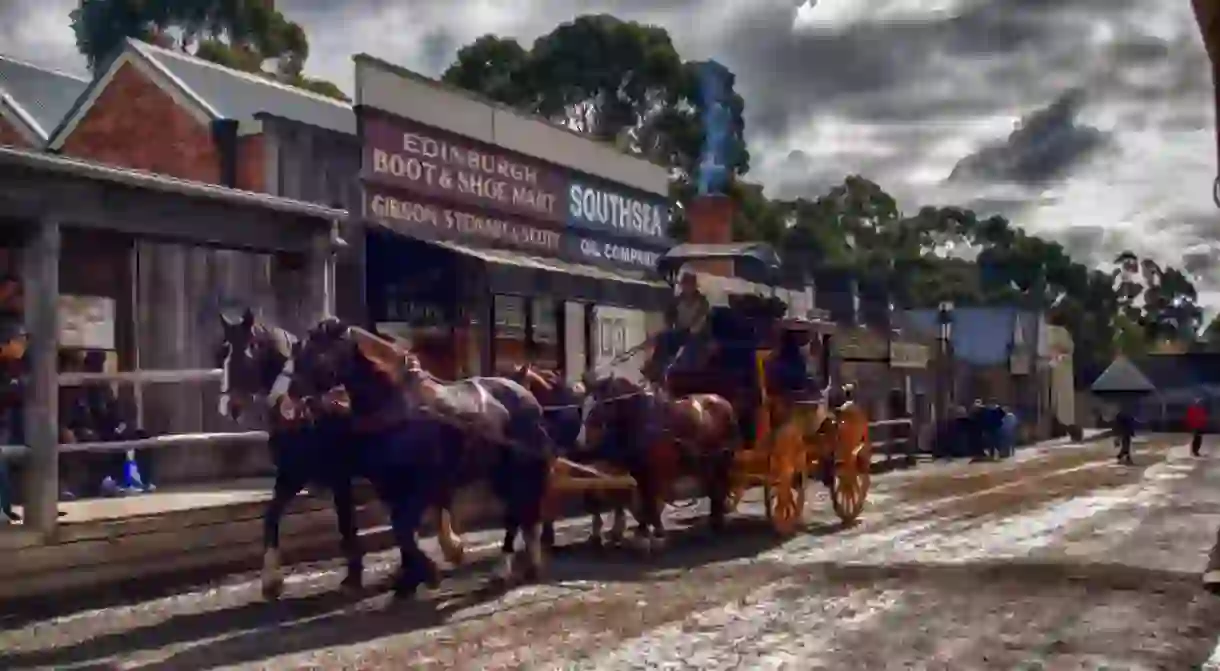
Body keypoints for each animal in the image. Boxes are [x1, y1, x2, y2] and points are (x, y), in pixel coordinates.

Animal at [283, 317, 551, 597]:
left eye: (319, 350)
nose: (292, 392)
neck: (394, 408)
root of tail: (527, 396)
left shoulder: (420, 487)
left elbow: (403, 528)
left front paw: (432, 570)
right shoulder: (391, 488)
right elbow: (402, 531)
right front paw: (411, 577)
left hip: (516, 469)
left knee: (515, 514)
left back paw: (503, 568)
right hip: (501, 472)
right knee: (520, 514)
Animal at [578, 373, 736, 551]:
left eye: (597, 408)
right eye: (582, 408)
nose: (581, 443)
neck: (642, 421)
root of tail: (723, 401)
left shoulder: (653, 471)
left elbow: (650, 501)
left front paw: (656, 533)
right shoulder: (638, 472)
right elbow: (644, 500)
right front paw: (643, 532)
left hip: (722, 459)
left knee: (719, 487)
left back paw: (717, 521)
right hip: (708, 461)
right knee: (714, 487)